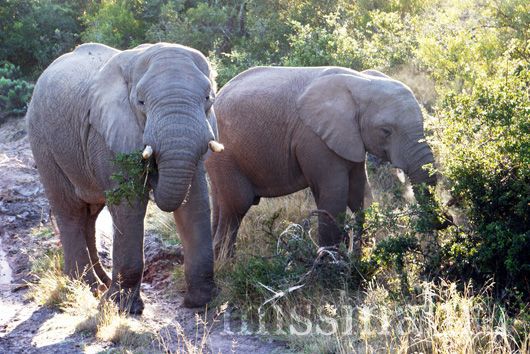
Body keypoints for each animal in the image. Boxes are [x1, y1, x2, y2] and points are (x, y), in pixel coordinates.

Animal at [27, 42, 221, 314]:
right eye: (140, 102)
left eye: (208, 99)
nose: (153, 167)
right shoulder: (104, 135)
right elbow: (129, 208)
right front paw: (123, 308)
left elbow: (195, 203)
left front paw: (200, 302)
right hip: (42, 140)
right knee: (70, 211)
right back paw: (85, 288)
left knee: (90, 215)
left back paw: (101, 284)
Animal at [204, 65, 436, 258]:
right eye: (386, 131)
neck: (361, 82)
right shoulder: (315, 139)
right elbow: (334, 195)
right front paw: (331, 263)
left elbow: (359, 192)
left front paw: (359, 255)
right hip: (225, 152)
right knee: (238, 203)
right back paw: (226, 264)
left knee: (220, 203)